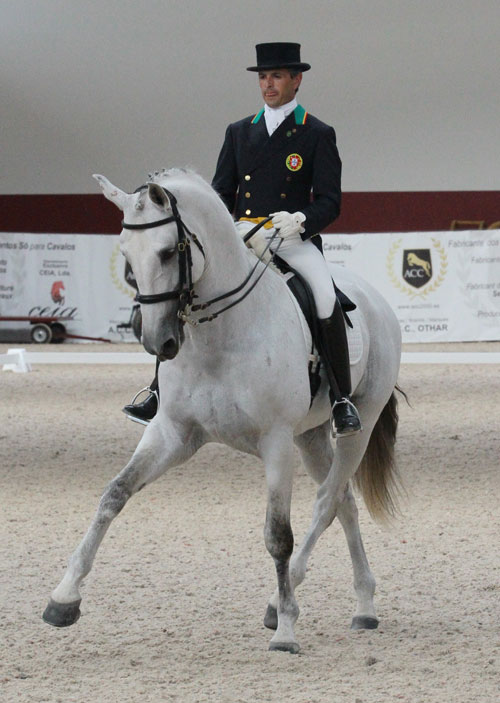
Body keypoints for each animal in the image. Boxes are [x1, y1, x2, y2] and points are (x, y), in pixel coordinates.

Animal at [43, 168, 402, 654]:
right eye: (126, 256)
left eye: (167, 251)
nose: (157, 341)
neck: (219, 335)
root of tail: (374, 298)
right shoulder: (173, 433)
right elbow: (113, 495)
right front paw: (64, 598)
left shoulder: (275, 442)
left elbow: (278, 535)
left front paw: (286, 630)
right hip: (310, 437)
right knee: (343, 501)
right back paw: (363, 606)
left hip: (356, 426)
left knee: (327, 501)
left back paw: (286, 603)